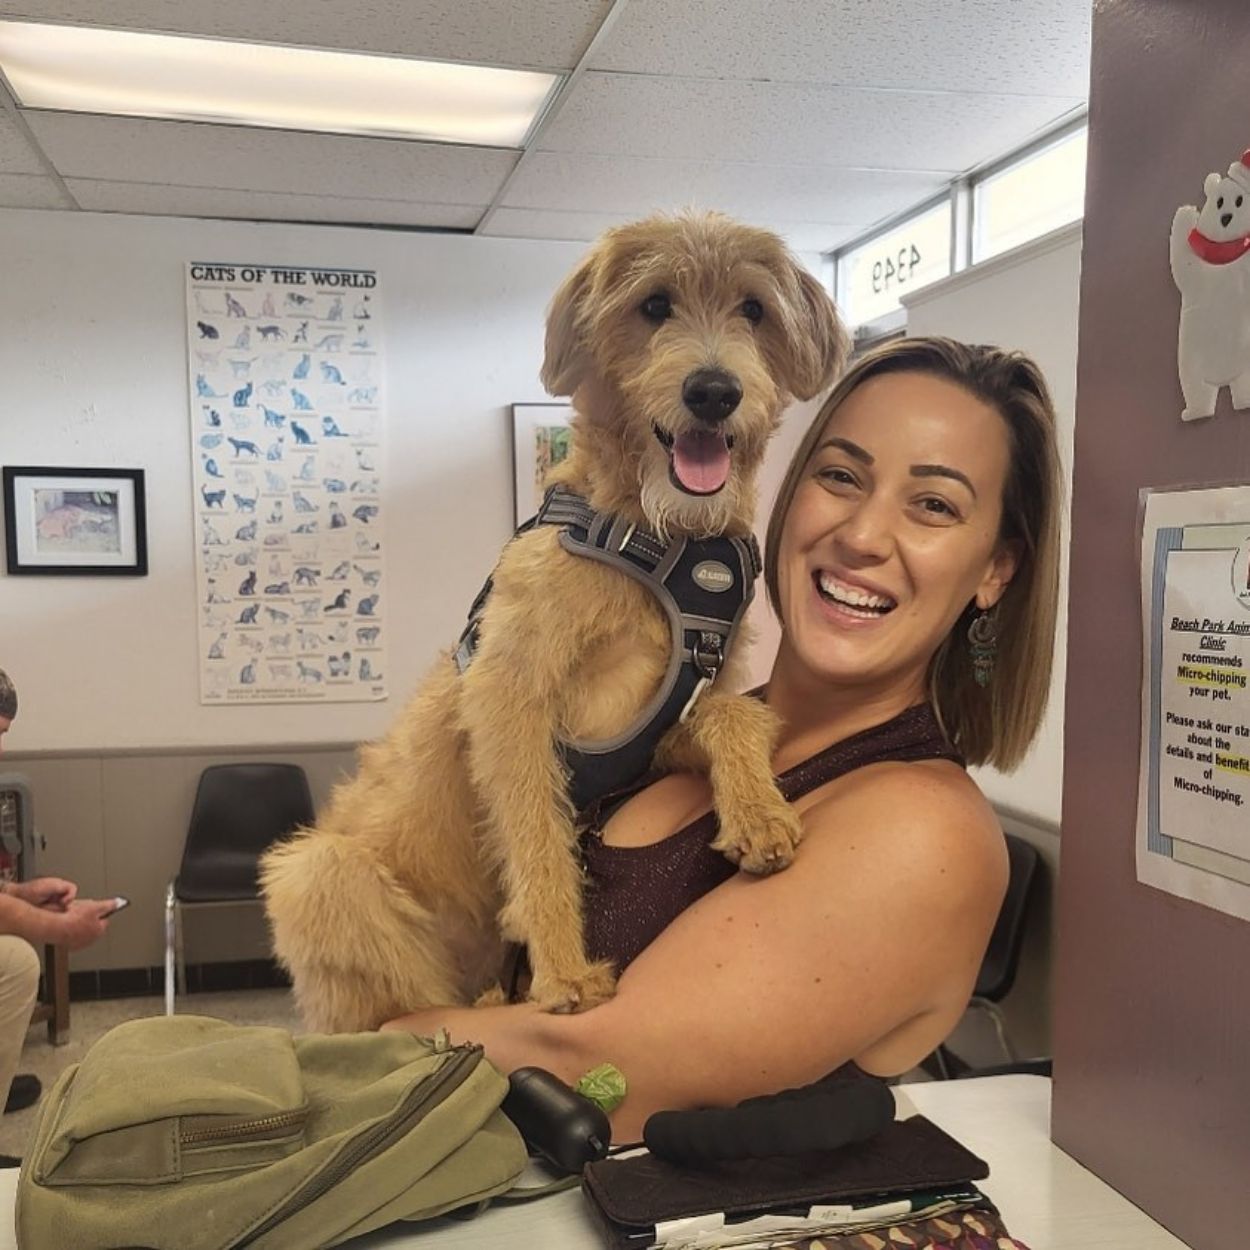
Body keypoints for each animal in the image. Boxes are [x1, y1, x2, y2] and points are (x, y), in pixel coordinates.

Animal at [263, 217, 850, 1035]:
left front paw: (760, 813)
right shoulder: (510, 702)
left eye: (754, 309)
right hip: (316, 873)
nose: (713, 391)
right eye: (654, 304)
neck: (655, 539)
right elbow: (538, 836)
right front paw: (565, 971)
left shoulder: (659, 725)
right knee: (400, 1007)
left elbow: (731, 712)